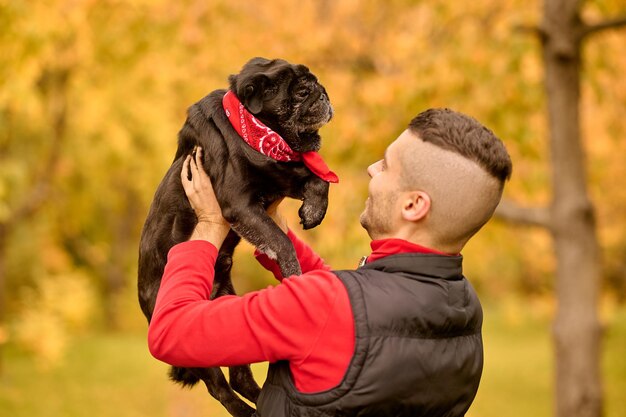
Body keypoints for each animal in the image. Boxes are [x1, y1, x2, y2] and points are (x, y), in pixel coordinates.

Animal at [135, 57, 332, 416]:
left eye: (315, 84)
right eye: (301, 92)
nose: (322, 93)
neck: (256, 133)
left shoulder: (281, 177)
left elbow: (317, 178)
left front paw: (314, 210)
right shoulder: (240, 203)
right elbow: (280, 241)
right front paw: (294, 273)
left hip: (225, 305)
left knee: (240, 377)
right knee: (220, 388)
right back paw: (248, 411)